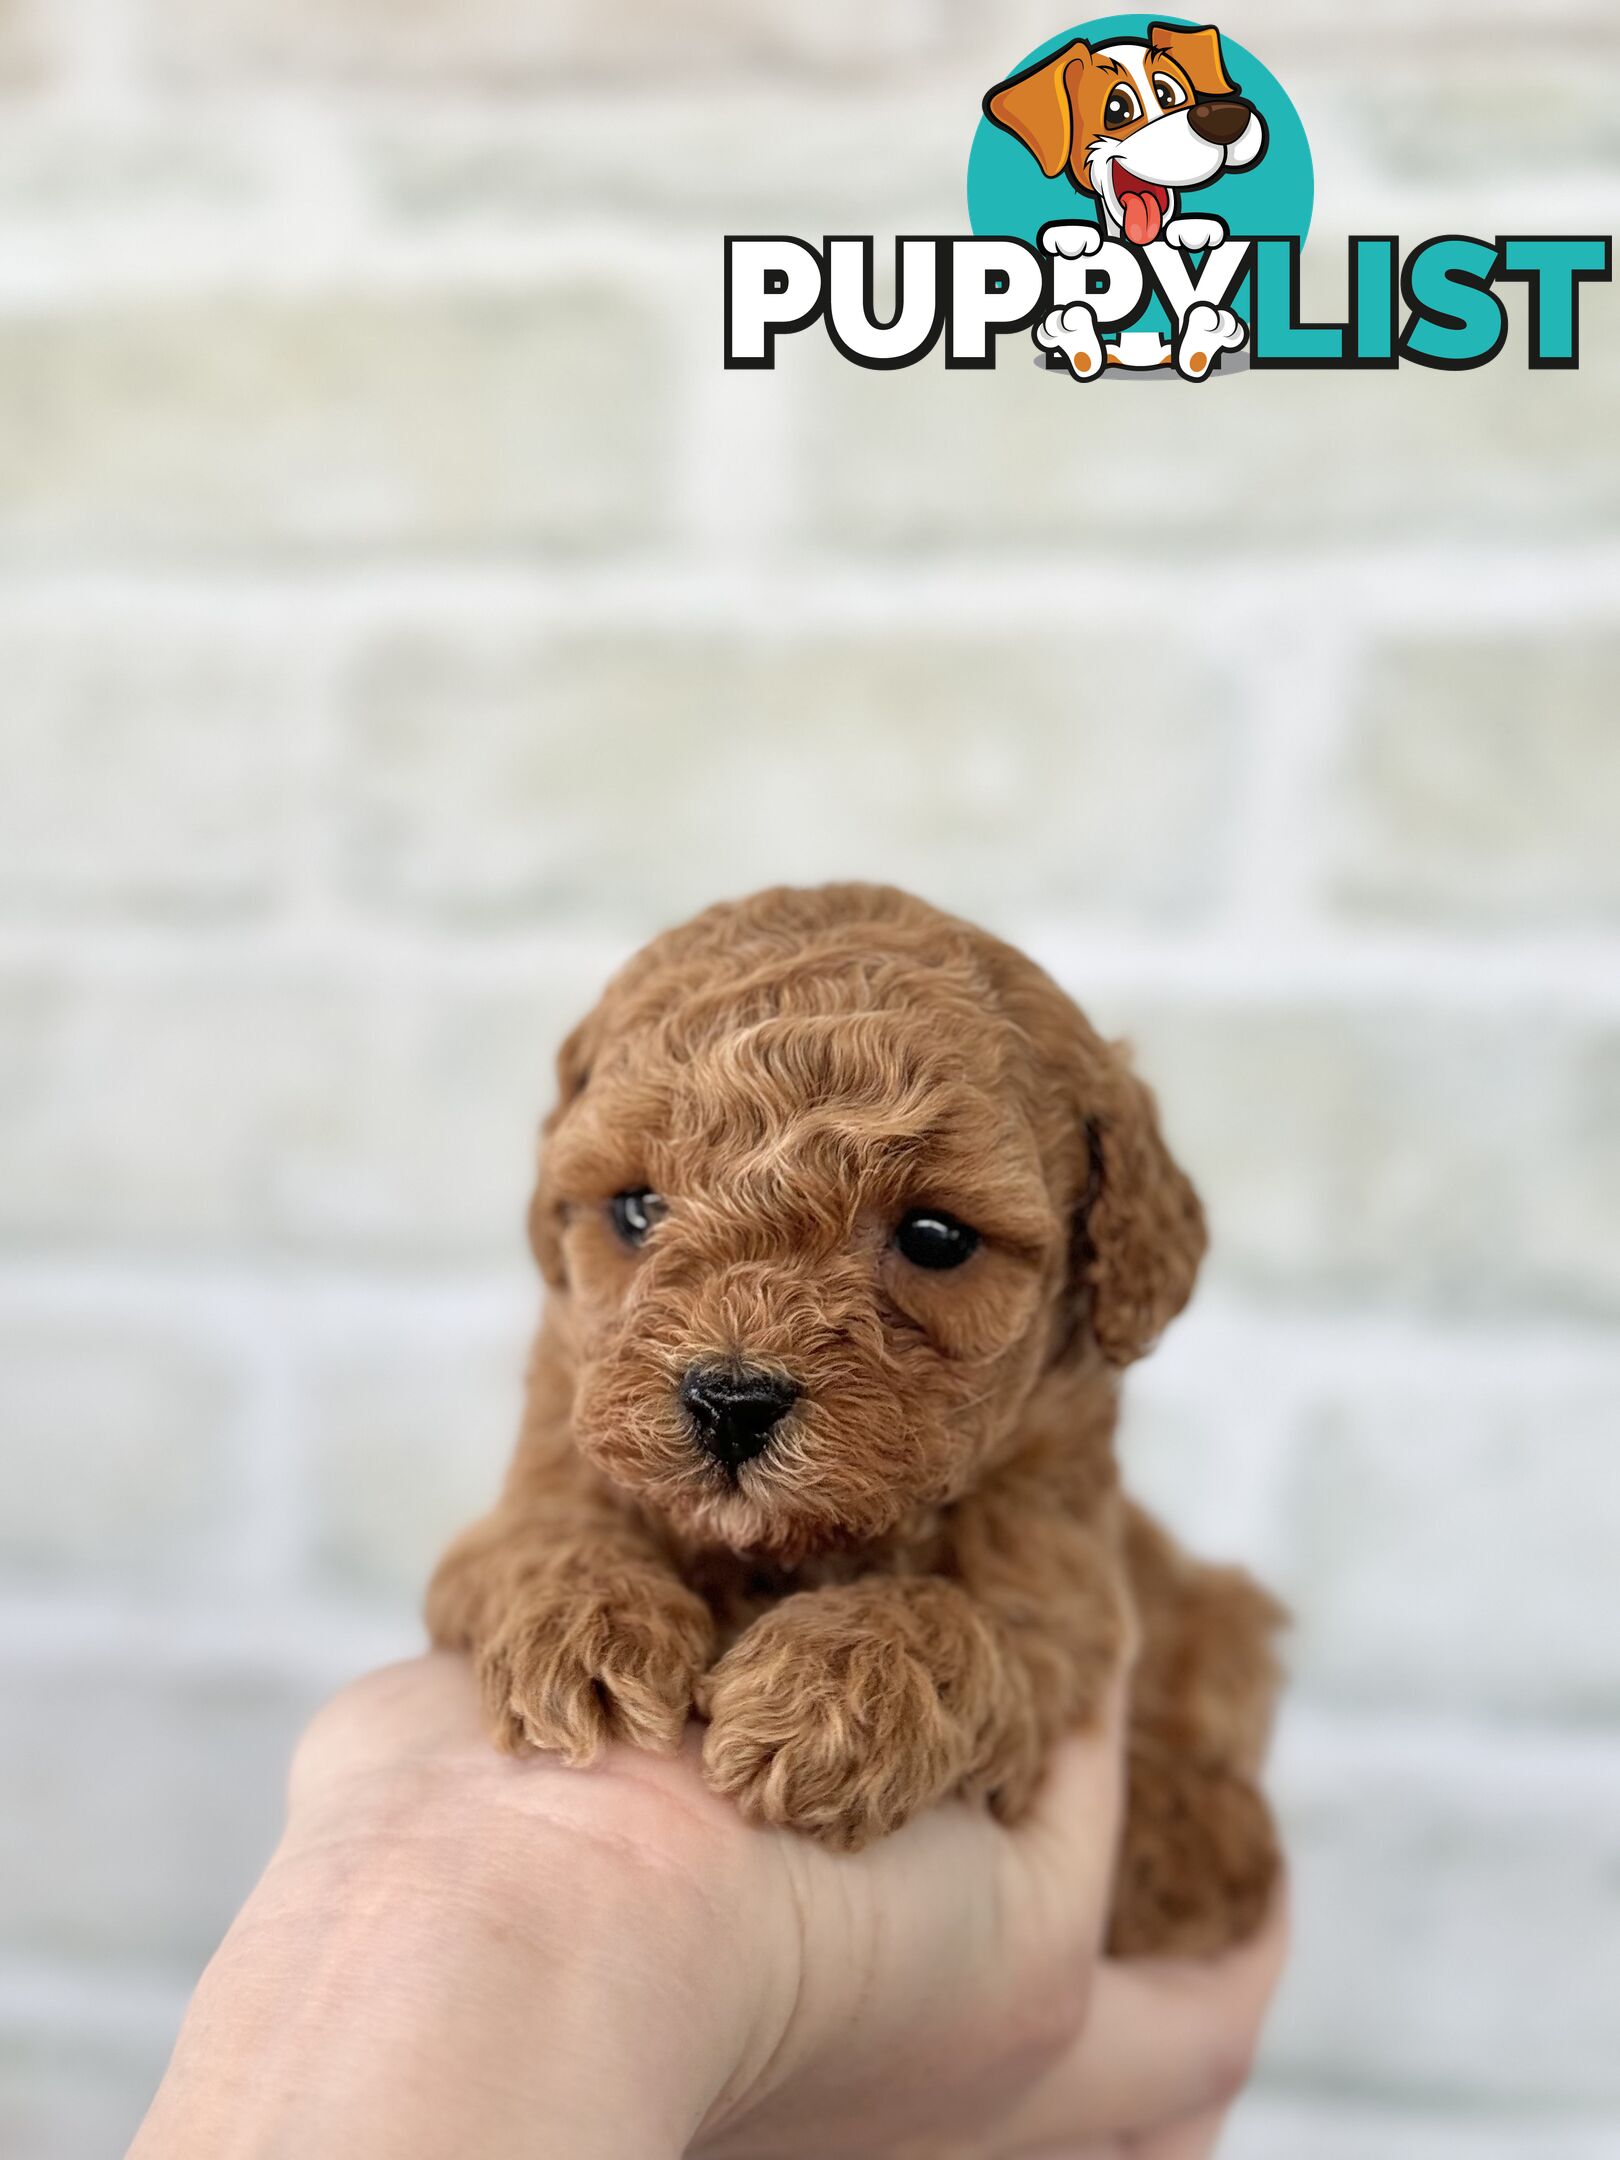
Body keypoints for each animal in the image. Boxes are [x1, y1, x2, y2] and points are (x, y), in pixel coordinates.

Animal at [427, 876, 1278, 1961]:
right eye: (635, 1210)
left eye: (936, 1237)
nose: (730, 1401)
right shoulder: (535, 1471)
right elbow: (544, 1536)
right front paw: (579, 1630)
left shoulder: (1064, 1593)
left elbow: (951, 1615)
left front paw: (828, 1698)